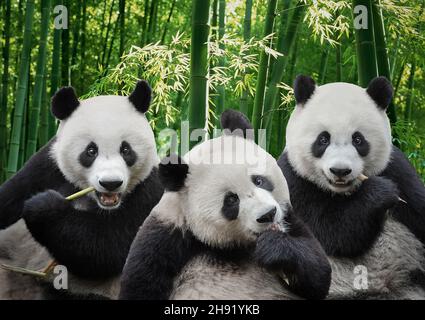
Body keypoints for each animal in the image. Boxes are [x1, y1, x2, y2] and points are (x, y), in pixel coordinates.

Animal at [0, 80, 163, 300]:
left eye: (126, 150)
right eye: (91, 151)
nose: (111, 183)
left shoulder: (149, 188)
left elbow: (108, 244)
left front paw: (42, 206)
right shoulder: (46, 166)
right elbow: (11, 197)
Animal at [119, 110, 332, 300]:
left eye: (259, 180)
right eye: (231, 199)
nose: (268, 215)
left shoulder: (289, 219)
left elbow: (318, 275)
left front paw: (274, 248)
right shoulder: (165, 236)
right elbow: (142, 284)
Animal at [274, 75, 424, 300]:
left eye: (358, 139)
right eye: (323, 139)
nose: (340, 171)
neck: (343, 193)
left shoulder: (397, 169)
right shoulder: (293, 180)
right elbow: (332, 233)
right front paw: (380, 193)